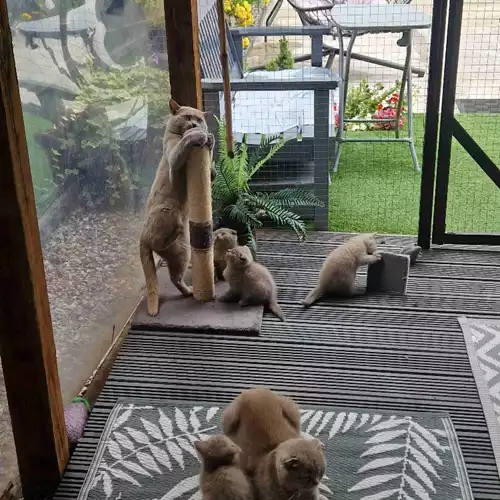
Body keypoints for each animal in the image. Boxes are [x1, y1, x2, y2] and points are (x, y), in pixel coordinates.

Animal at [139, 98, 215, 316]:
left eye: (199, 119)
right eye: (188, 117)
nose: (195, 124)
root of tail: (141, 236)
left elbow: (210, 164)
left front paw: (210, 139)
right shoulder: (174, 158)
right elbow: (183, 144)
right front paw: (197, 136)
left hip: (181, 253)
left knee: (175, 277)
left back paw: (189, 291)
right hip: (168, 211)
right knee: (157, 243)